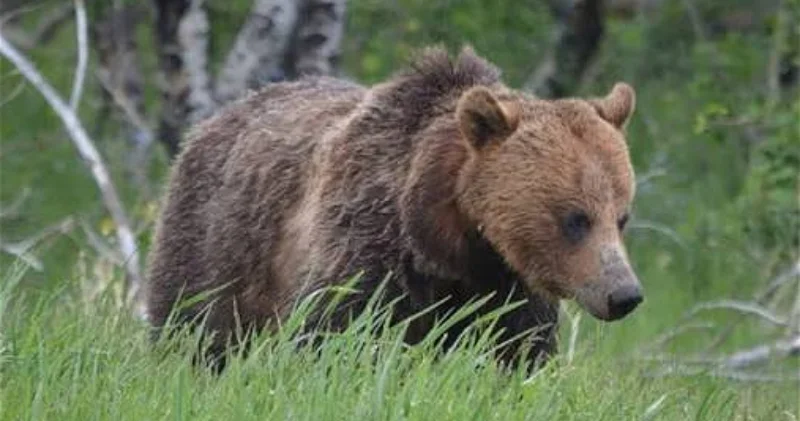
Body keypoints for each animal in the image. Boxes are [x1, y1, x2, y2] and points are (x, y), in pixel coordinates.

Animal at [144, 46, 643, 369]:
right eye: (575, 218)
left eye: (621, 217)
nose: (624, 294)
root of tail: (219, 115)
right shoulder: (367, 244)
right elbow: (339, 334)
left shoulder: (506, 285)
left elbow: (517, 351)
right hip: (218, 240)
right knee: (194, 327)